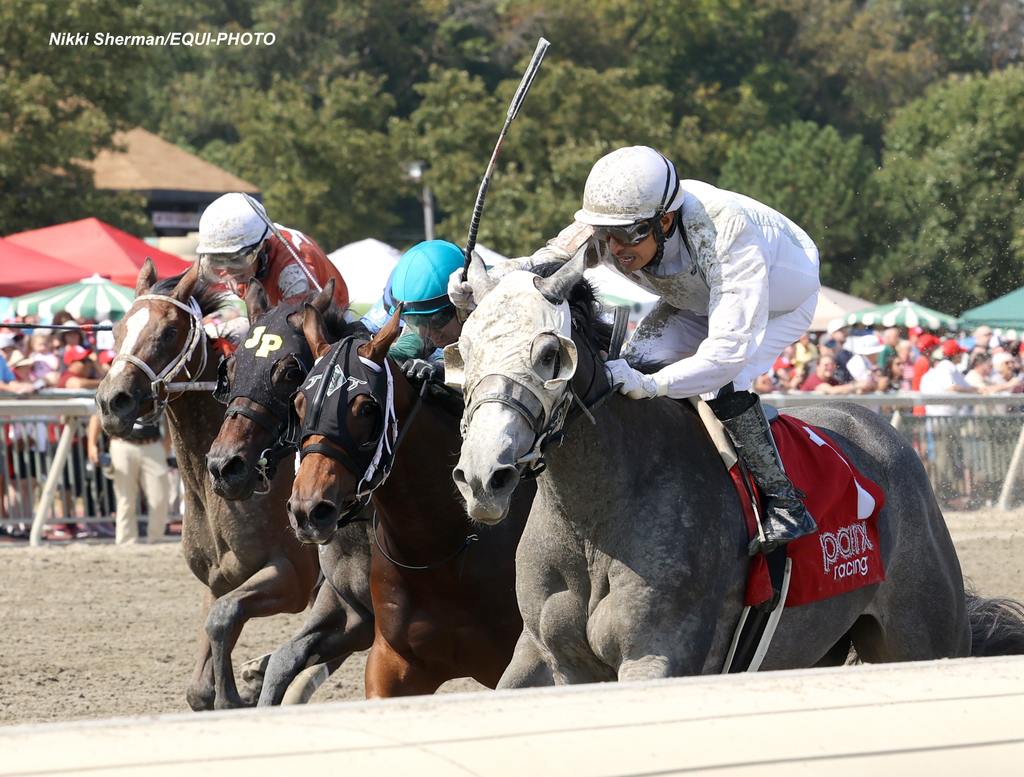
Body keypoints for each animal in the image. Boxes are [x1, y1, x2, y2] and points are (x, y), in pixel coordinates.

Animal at [96, 262, 319, 712]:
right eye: (117, 329)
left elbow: (225, 622)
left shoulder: (292, 576)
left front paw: (240, 690)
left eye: (168, 332)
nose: (113, 402)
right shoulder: (217, 581)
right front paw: (241, 683)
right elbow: (201, 680)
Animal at [448, 250, 1024, 687]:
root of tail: (884, 433)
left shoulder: (657, 655)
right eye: (463, 351)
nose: (483, 476)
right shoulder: (555, 660)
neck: (594, 519)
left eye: (550, 354)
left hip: (922, 638)